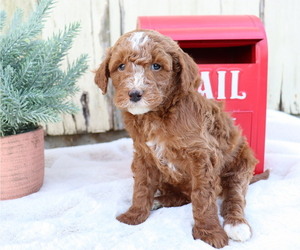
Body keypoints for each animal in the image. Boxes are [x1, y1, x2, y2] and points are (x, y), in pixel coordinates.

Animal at [95, 29, 258, 248]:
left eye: (156, 66)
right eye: (121, 66)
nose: (135, 94)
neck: (155, 115)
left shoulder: (202, 156)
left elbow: (203, 196)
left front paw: (210, 233)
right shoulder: (144, 155)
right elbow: (141, 187)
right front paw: (134, 215)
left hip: (241, 164)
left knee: (234, 194)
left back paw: (236, 224)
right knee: (181, 197)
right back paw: (158, 201)